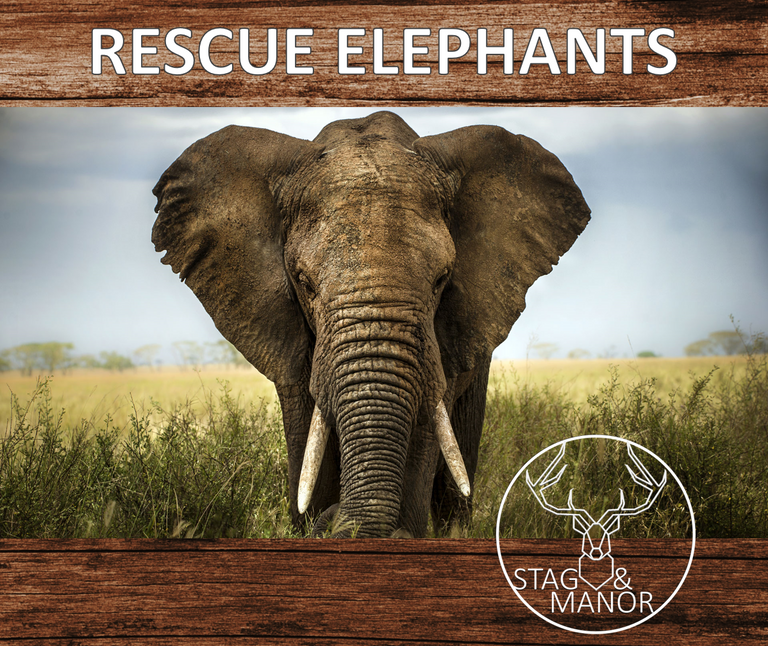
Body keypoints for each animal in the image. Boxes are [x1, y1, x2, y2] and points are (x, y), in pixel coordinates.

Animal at [152, 111, 590, 538]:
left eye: (442, 279)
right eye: (304, 282)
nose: (333, 519)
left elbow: (426, 427)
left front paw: (400, 534)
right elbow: (306, 432)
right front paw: (311, 522)